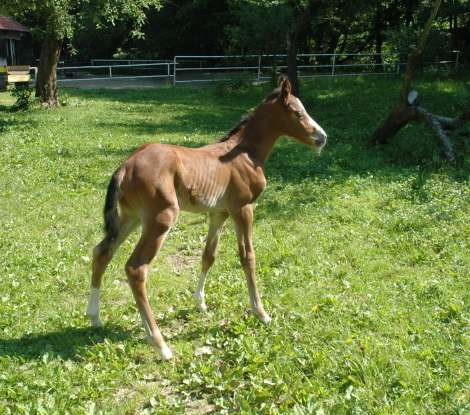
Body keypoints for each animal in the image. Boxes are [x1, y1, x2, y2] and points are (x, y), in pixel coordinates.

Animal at [85, 79, 326, 360]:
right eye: (298, 113)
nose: (322, 138)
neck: (245, 154)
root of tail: (125, 166)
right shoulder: (243, 209)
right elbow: (248, 257)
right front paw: (261, 313)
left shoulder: (219, 213)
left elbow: (208, 255)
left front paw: (200, 302)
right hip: (160, 220)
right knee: (136, 269)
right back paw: (160, 344)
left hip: (131, 218)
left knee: (103, 251)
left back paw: (95, 317)